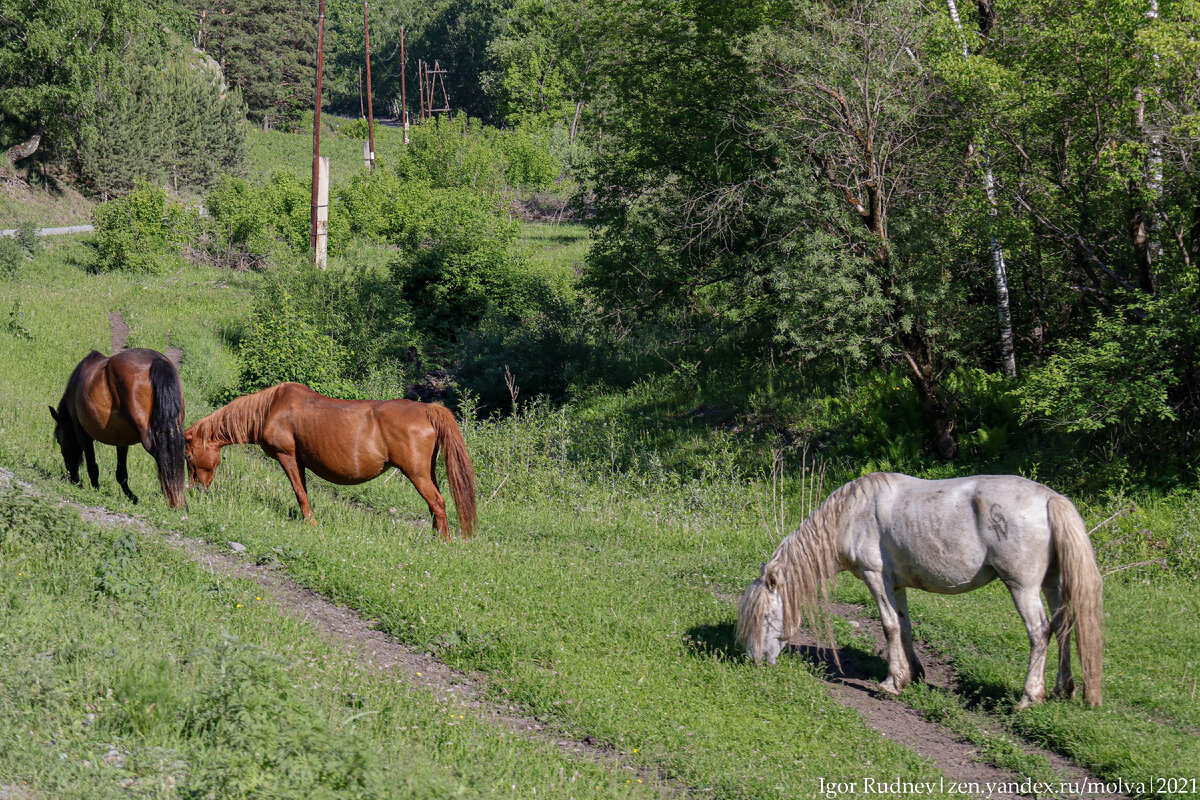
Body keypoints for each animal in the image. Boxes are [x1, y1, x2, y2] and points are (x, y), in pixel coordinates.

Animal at [51, 347, 187, 510]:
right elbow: (121, 473)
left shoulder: (82, 433)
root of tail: (156, 361)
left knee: (162, 457)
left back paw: (172, 498)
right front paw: (131, 497)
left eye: (60, 440)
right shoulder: (122, 441)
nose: (71, 477)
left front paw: (96, 488)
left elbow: (92, 465)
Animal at [182, 383, 477, 542]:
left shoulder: (287, 456)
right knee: (434, 506)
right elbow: (303, 490)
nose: (196, 490)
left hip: (417, 474)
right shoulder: (299, 460)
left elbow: (299, 491)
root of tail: (427, 409)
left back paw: (443, 541)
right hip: (427, 473)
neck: (271, 408)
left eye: (188, 457)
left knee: (437, 503)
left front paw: (310, 522)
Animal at [734, 472, 1108, 710]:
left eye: (765, 615)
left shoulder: (875, 577)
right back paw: (1063, 690)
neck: (850, 515)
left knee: (1040, 631)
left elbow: (889, 627)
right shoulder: (896, 584)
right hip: (1051, 583)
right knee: (1063, 626)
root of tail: (1049, 498)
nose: (755, 660)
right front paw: (911, 675)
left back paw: (1029, 698)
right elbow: (905, 627)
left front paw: (890, 683)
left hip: (1022, 587)